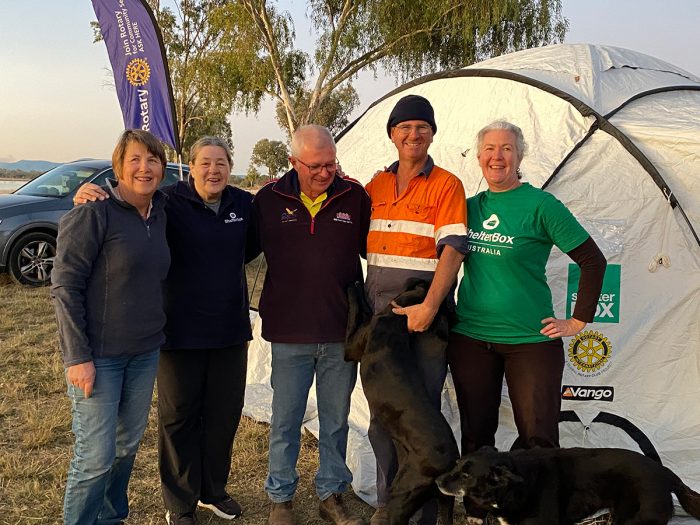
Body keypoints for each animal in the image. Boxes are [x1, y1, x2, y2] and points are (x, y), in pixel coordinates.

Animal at [344, 278, 460, 524]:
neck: (396, 319)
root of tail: (450, 464)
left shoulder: (350, 349)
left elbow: (355, 311)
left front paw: (352, 287)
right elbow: (365, 308)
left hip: (403, 492)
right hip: (444, 501)